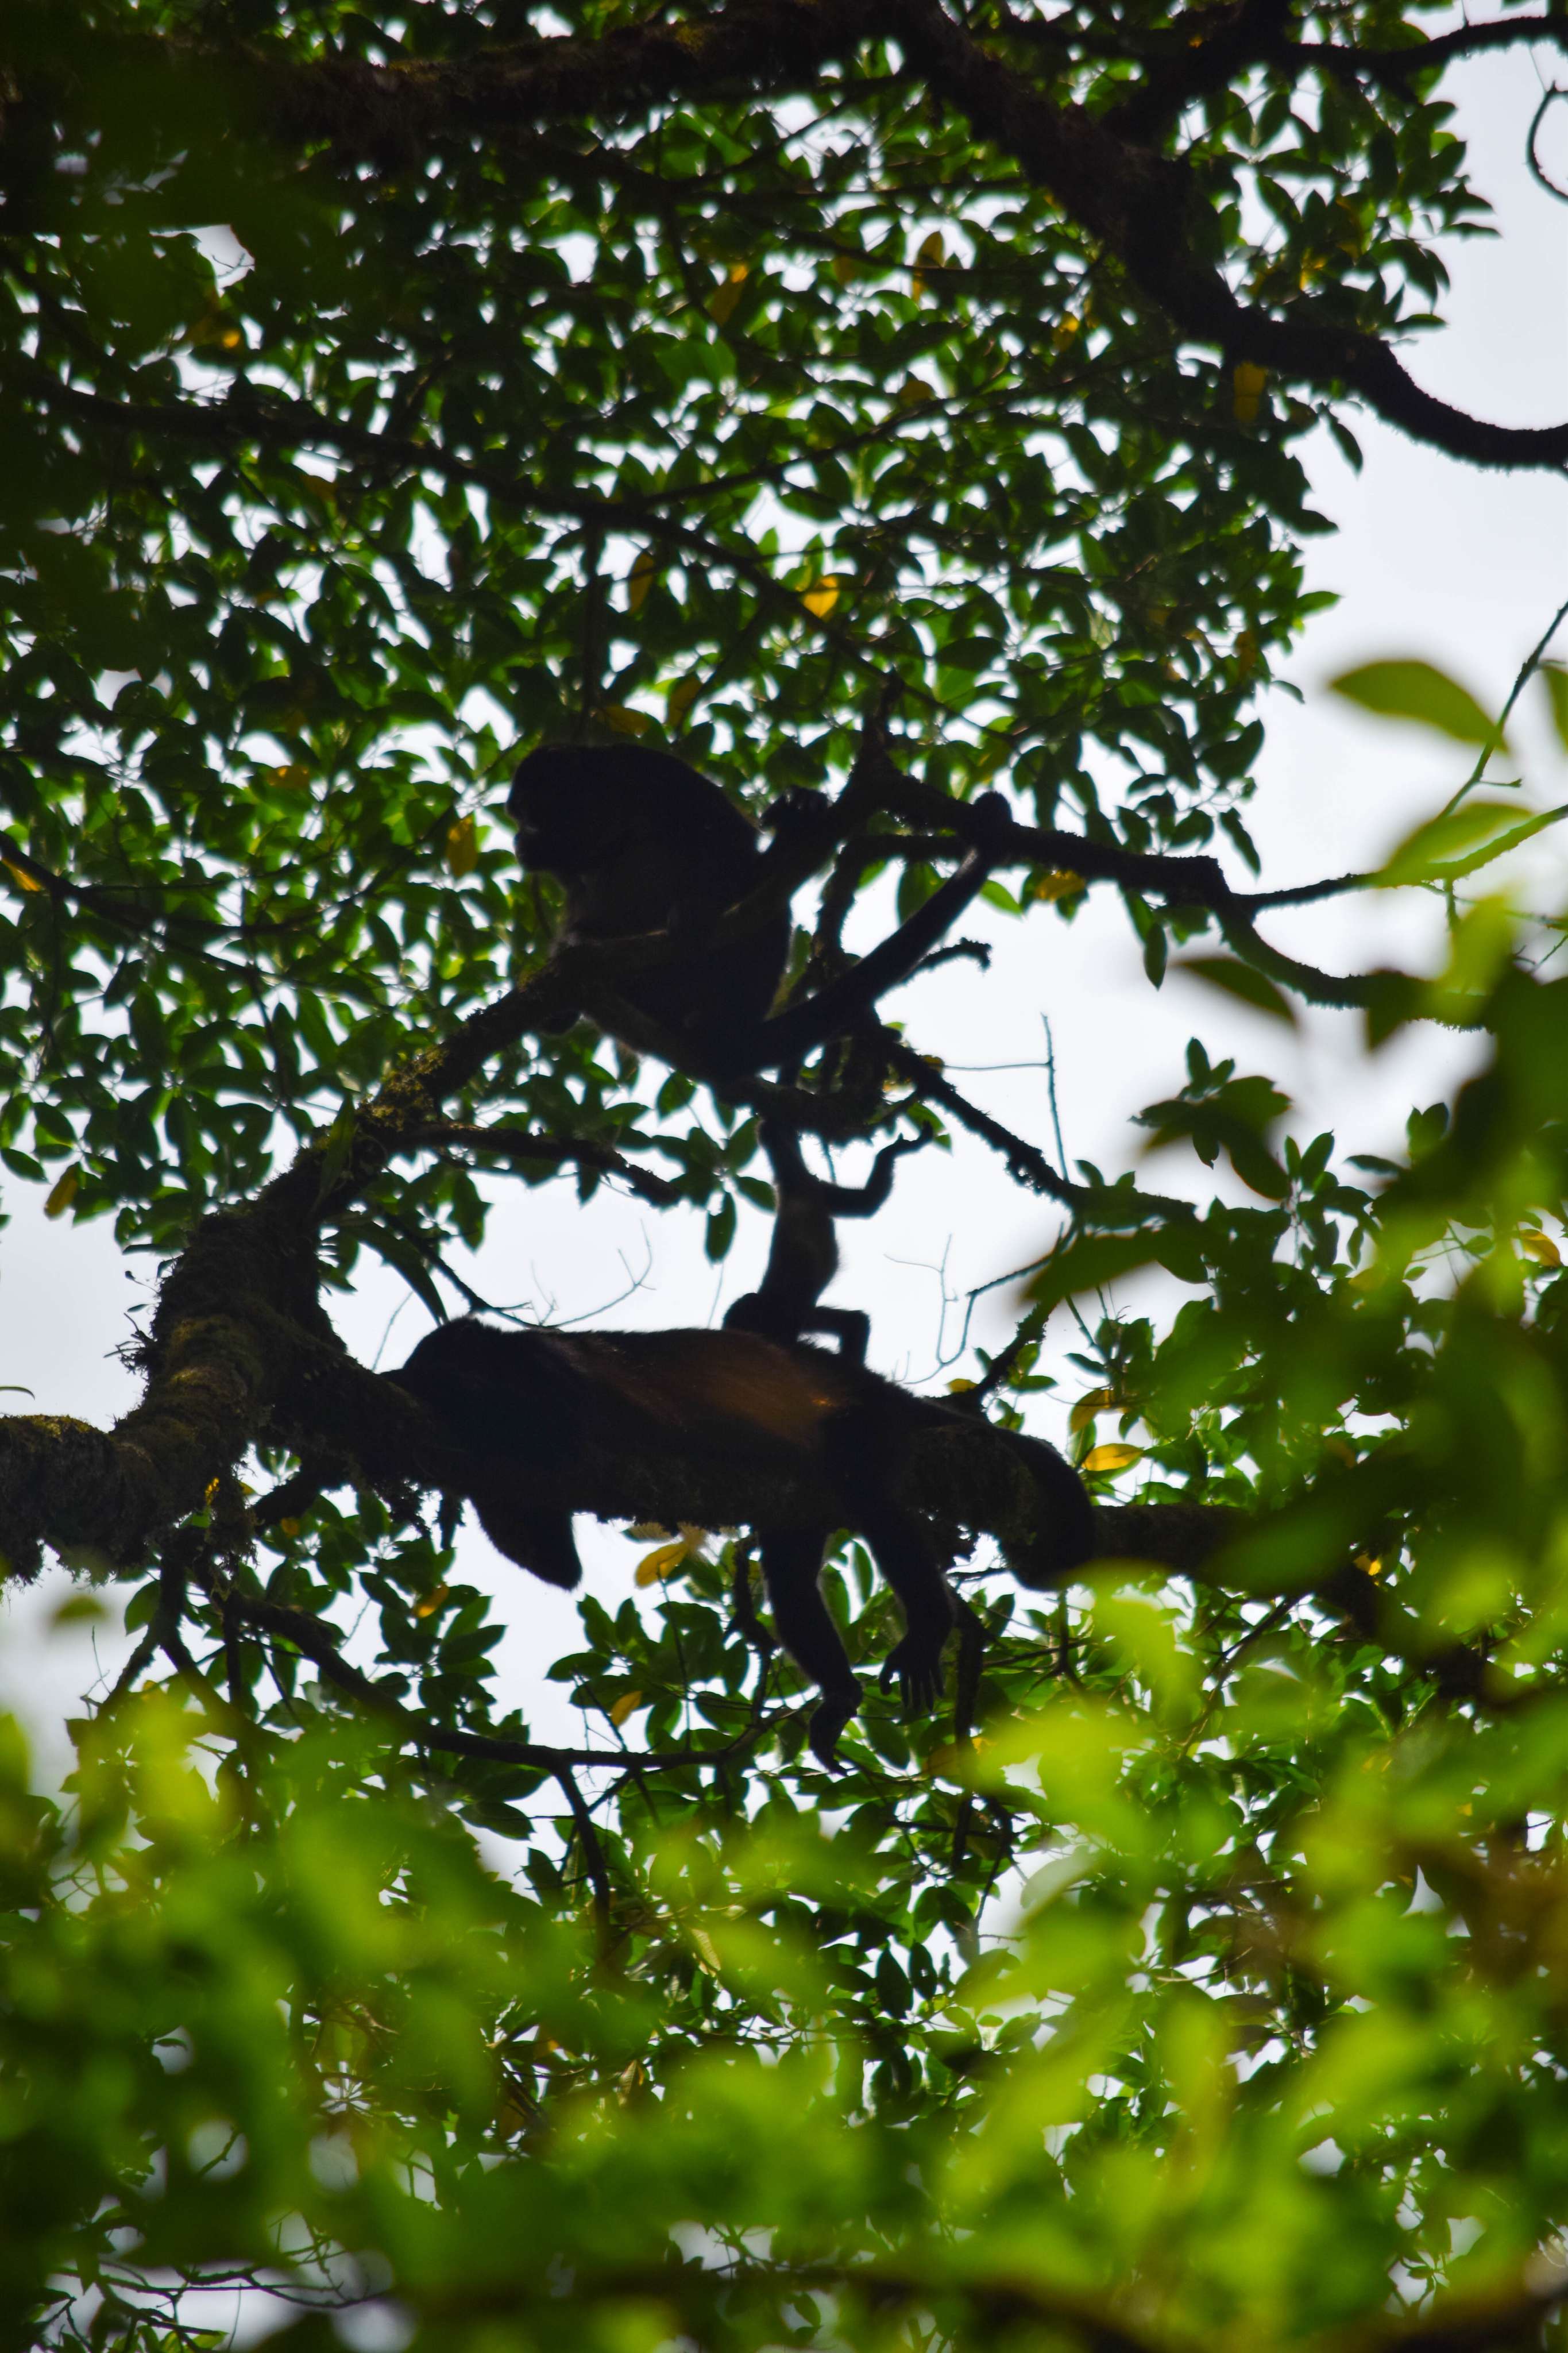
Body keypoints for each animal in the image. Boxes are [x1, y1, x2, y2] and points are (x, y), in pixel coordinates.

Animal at [389, 1318, 1097, 1764]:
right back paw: (840, 1693)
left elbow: (562, 1426)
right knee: (790, 1575)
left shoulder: (546, 1365)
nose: (424, 1371)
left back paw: (929, 1626)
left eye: (446, 1357)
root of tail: (873, 1385)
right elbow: (548, 1553)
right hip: (801, 1500)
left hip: (868, 1425)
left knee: (868, 1488)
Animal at [509, 742, 1013, 1077]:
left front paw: (797, 814)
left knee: (768, 911)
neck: (612, 807)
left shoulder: (660, 775)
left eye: (532, 815)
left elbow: (735, 855)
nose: (519, 838)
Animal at [723, 1119, 926, 1361]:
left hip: (808, 1186)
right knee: (867, 1202)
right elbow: (854, 1322)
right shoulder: (804, 1317)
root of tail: (791, 1189)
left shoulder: (786, 1317)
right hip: (826, 1193)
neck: (766, 1302)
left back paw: (896, 1151)